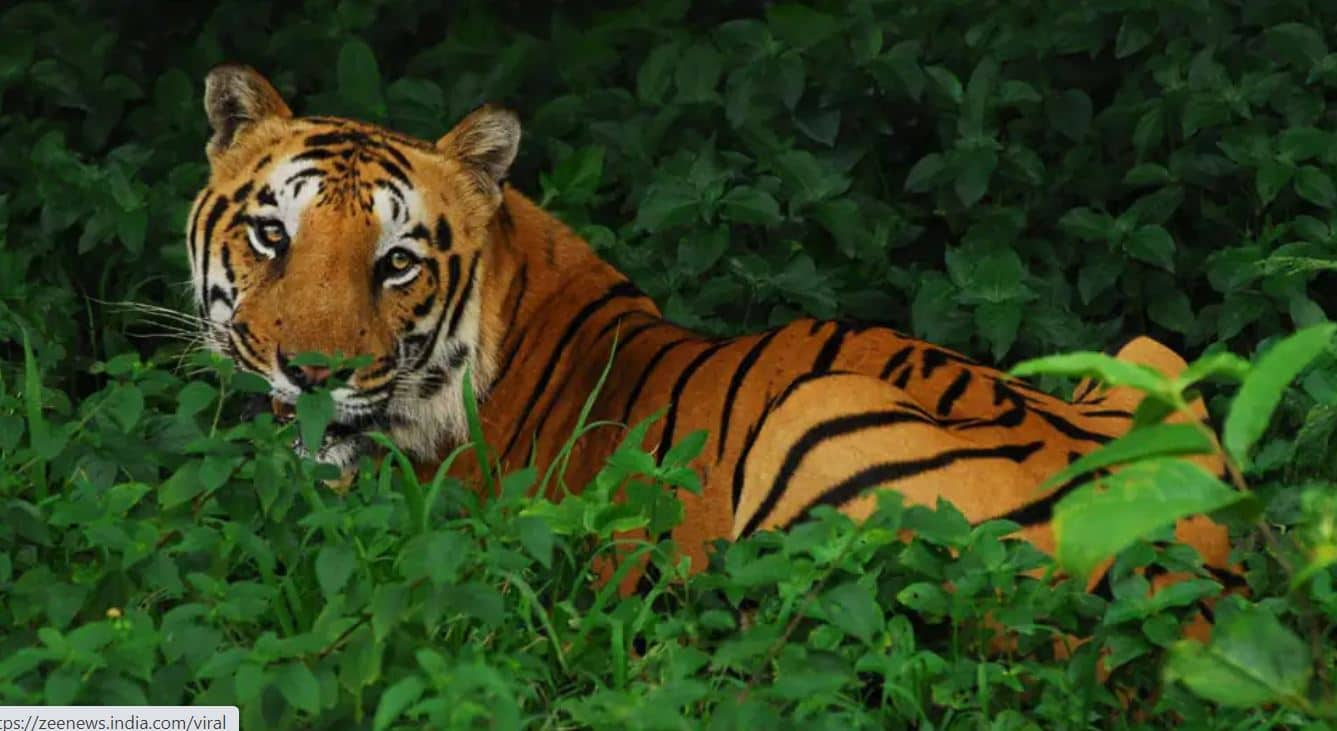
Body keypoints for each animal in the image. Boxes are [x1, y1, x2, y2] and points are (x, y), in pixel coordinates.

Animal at [185, 65, 1230, 609]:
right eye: (272, 234)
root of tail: (1189, 573)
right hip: (1151, 356)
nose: (314, 374)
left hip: (819, 413)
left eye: (397, 262)